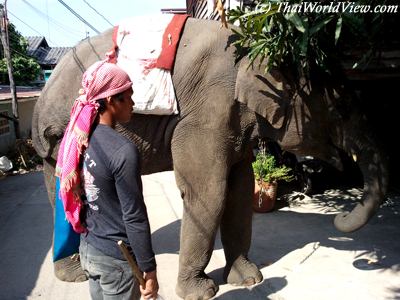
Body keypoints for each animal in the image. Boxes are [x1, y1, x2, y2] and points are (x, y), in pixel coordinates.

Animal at [32, 17, 388, 300]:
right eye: (340, 109)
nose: (340, 218)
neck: (254, 50)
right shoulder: (205, 113)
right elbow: (209, 193)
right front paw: (201, 293)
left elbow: (240, 191)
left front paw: (249, 279)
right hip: (61, 131)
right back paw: (77, 274)